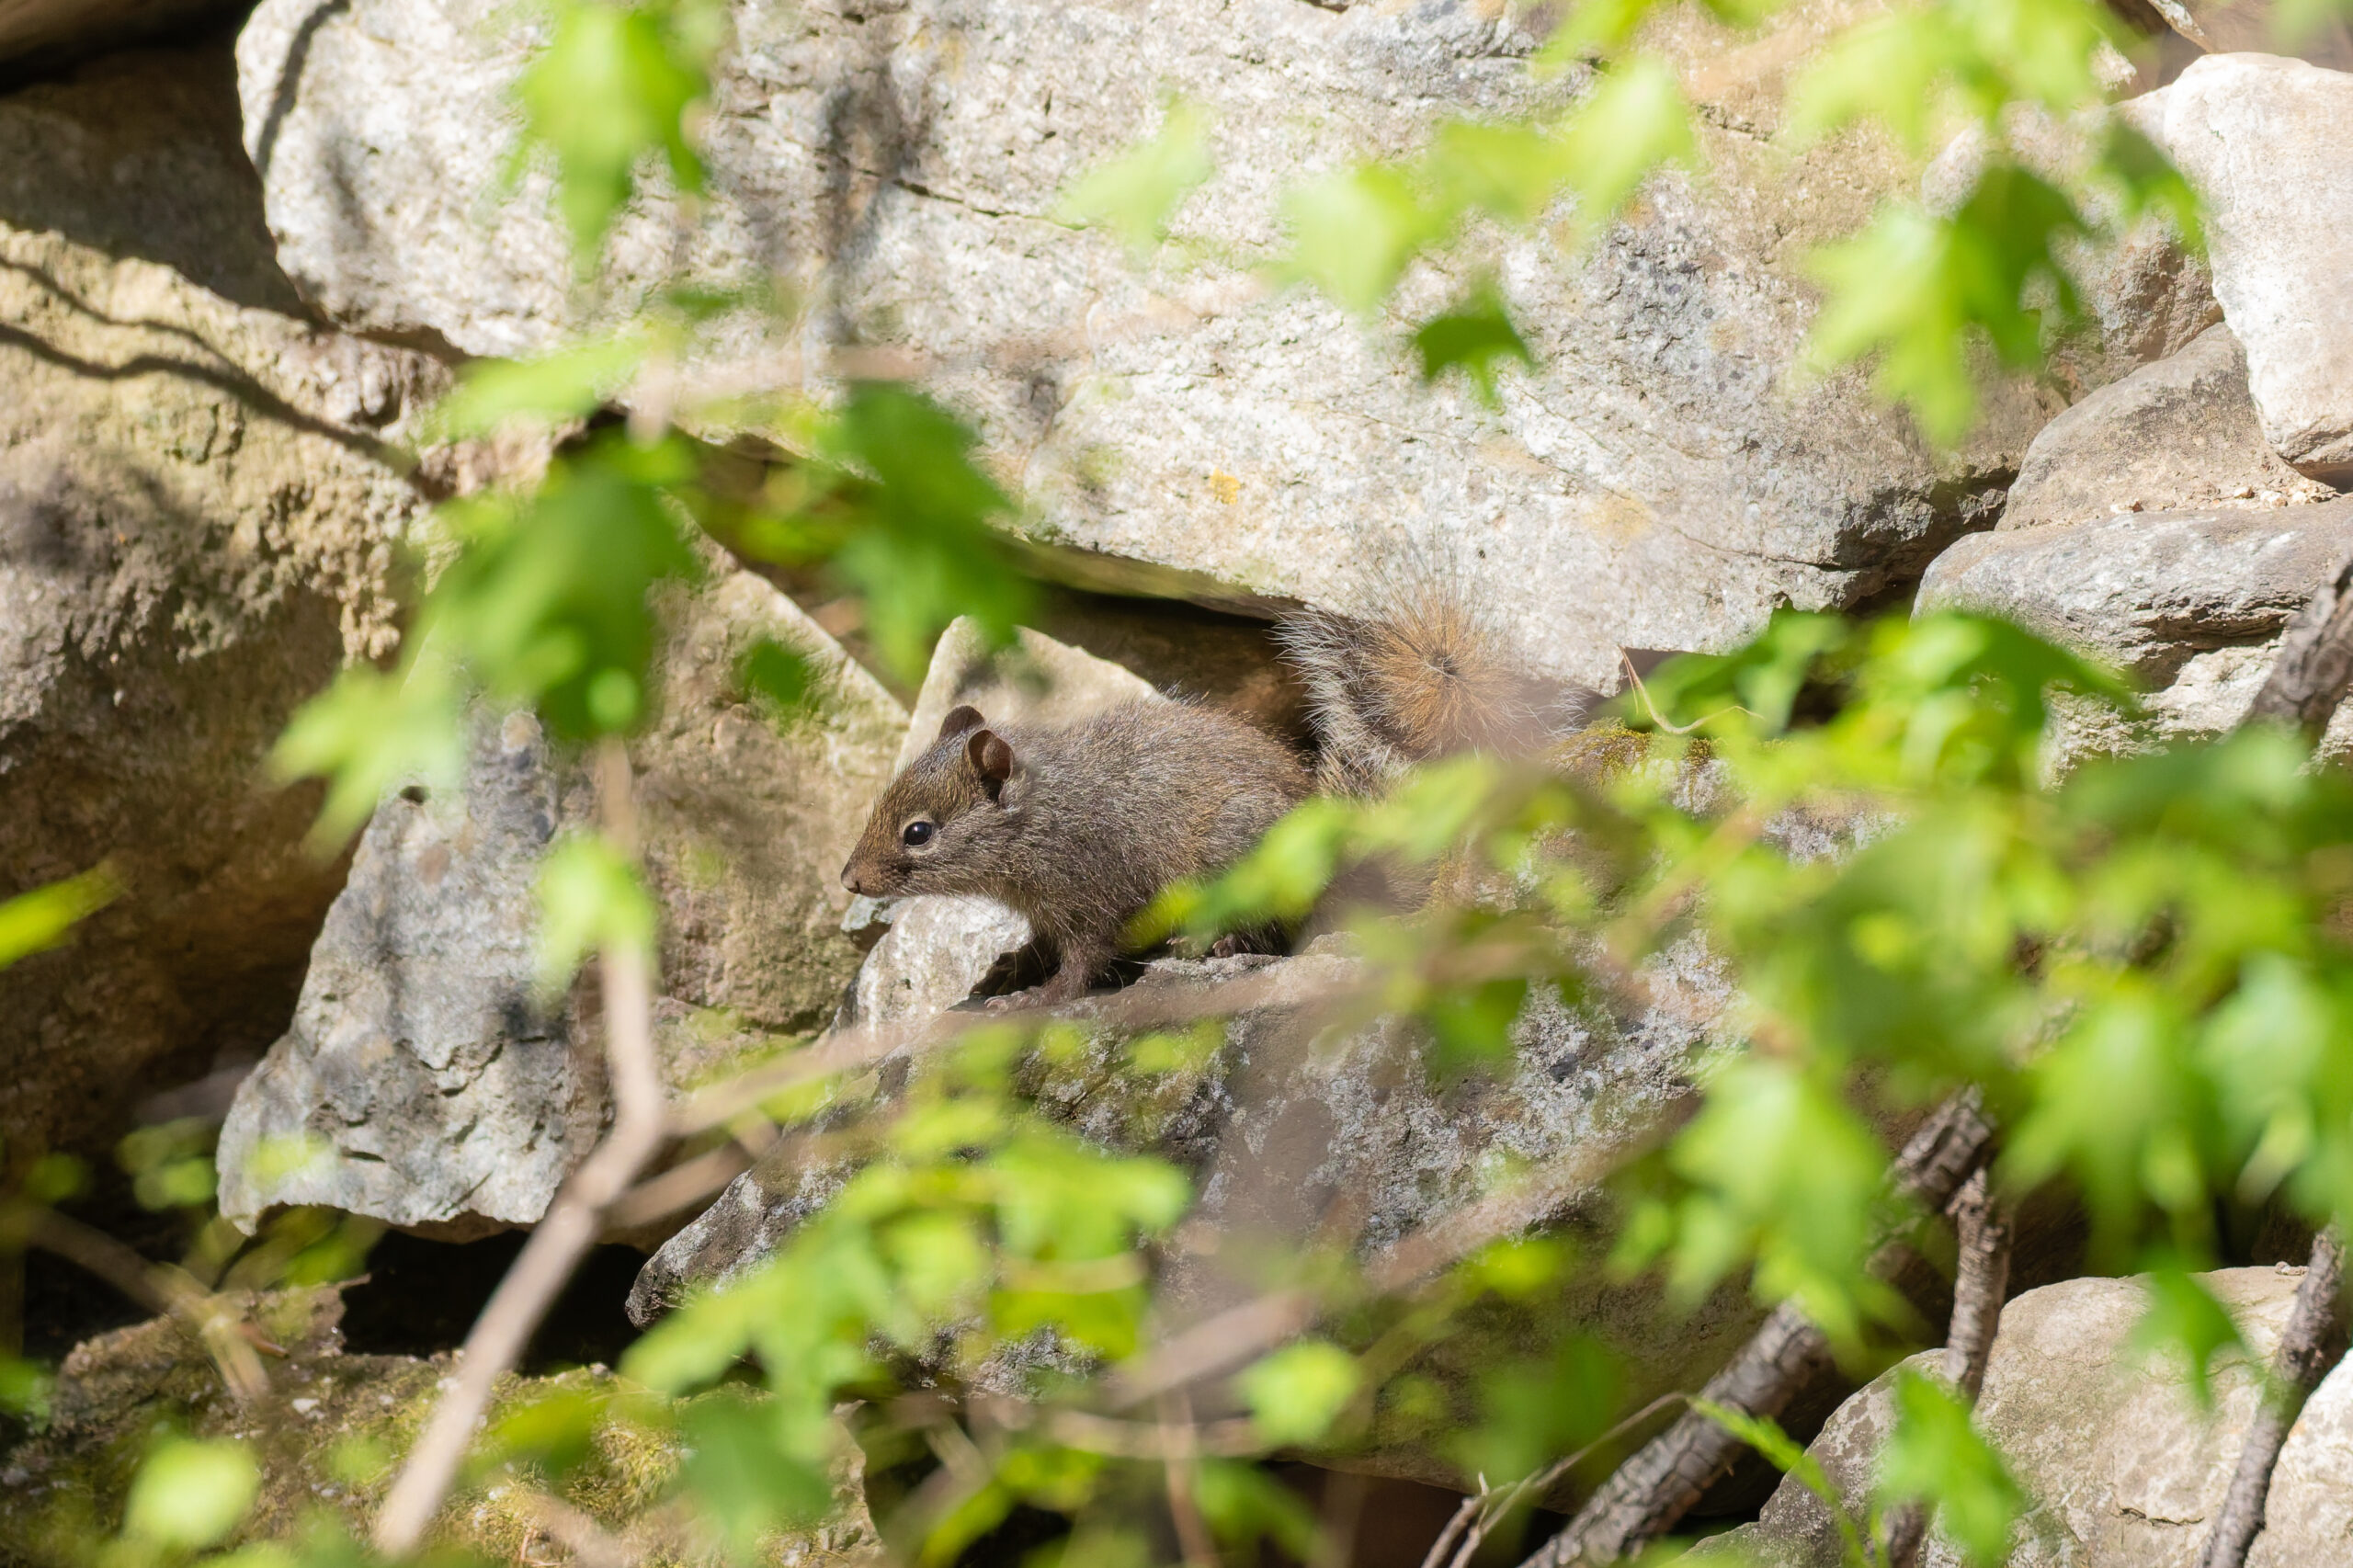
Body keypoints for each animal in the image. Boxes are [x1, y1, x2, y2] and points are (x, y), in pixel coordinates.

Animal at [838, 582, 1602, 1005]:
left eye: (918, 832)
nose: (849, 880)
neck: (1041, 815)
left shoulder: (1094, 888)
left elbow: (1085, 959)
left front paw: (1040, 997)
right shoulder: (1050, 907)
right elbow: (1043, 943)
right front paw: (1008, 969)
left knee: (1274, 931)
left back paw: (1216, 943)